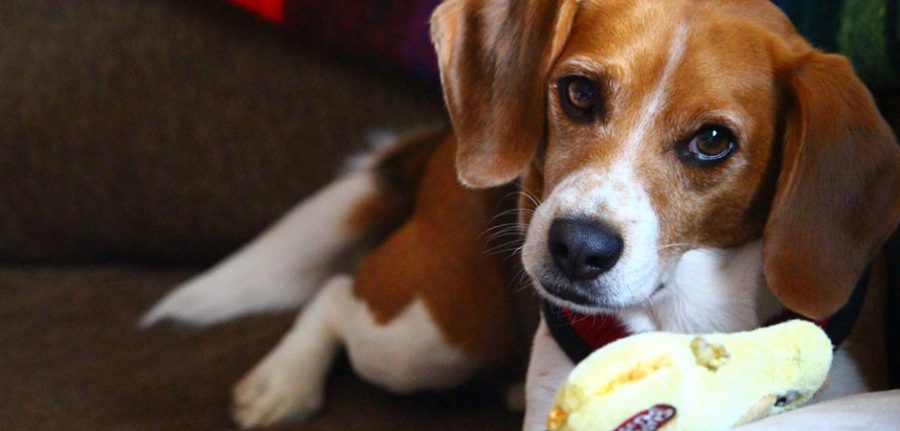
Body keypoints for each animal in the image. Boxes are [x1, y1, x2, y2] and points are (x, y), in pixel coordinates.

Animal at [139, 0, 900, 430]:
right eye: (579, 92)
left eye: (713, 141)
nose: (578, 247)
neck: (686, 318)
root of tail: (443, 139)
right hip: (426, 335)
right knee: (337, 292)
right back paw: (283, 382)